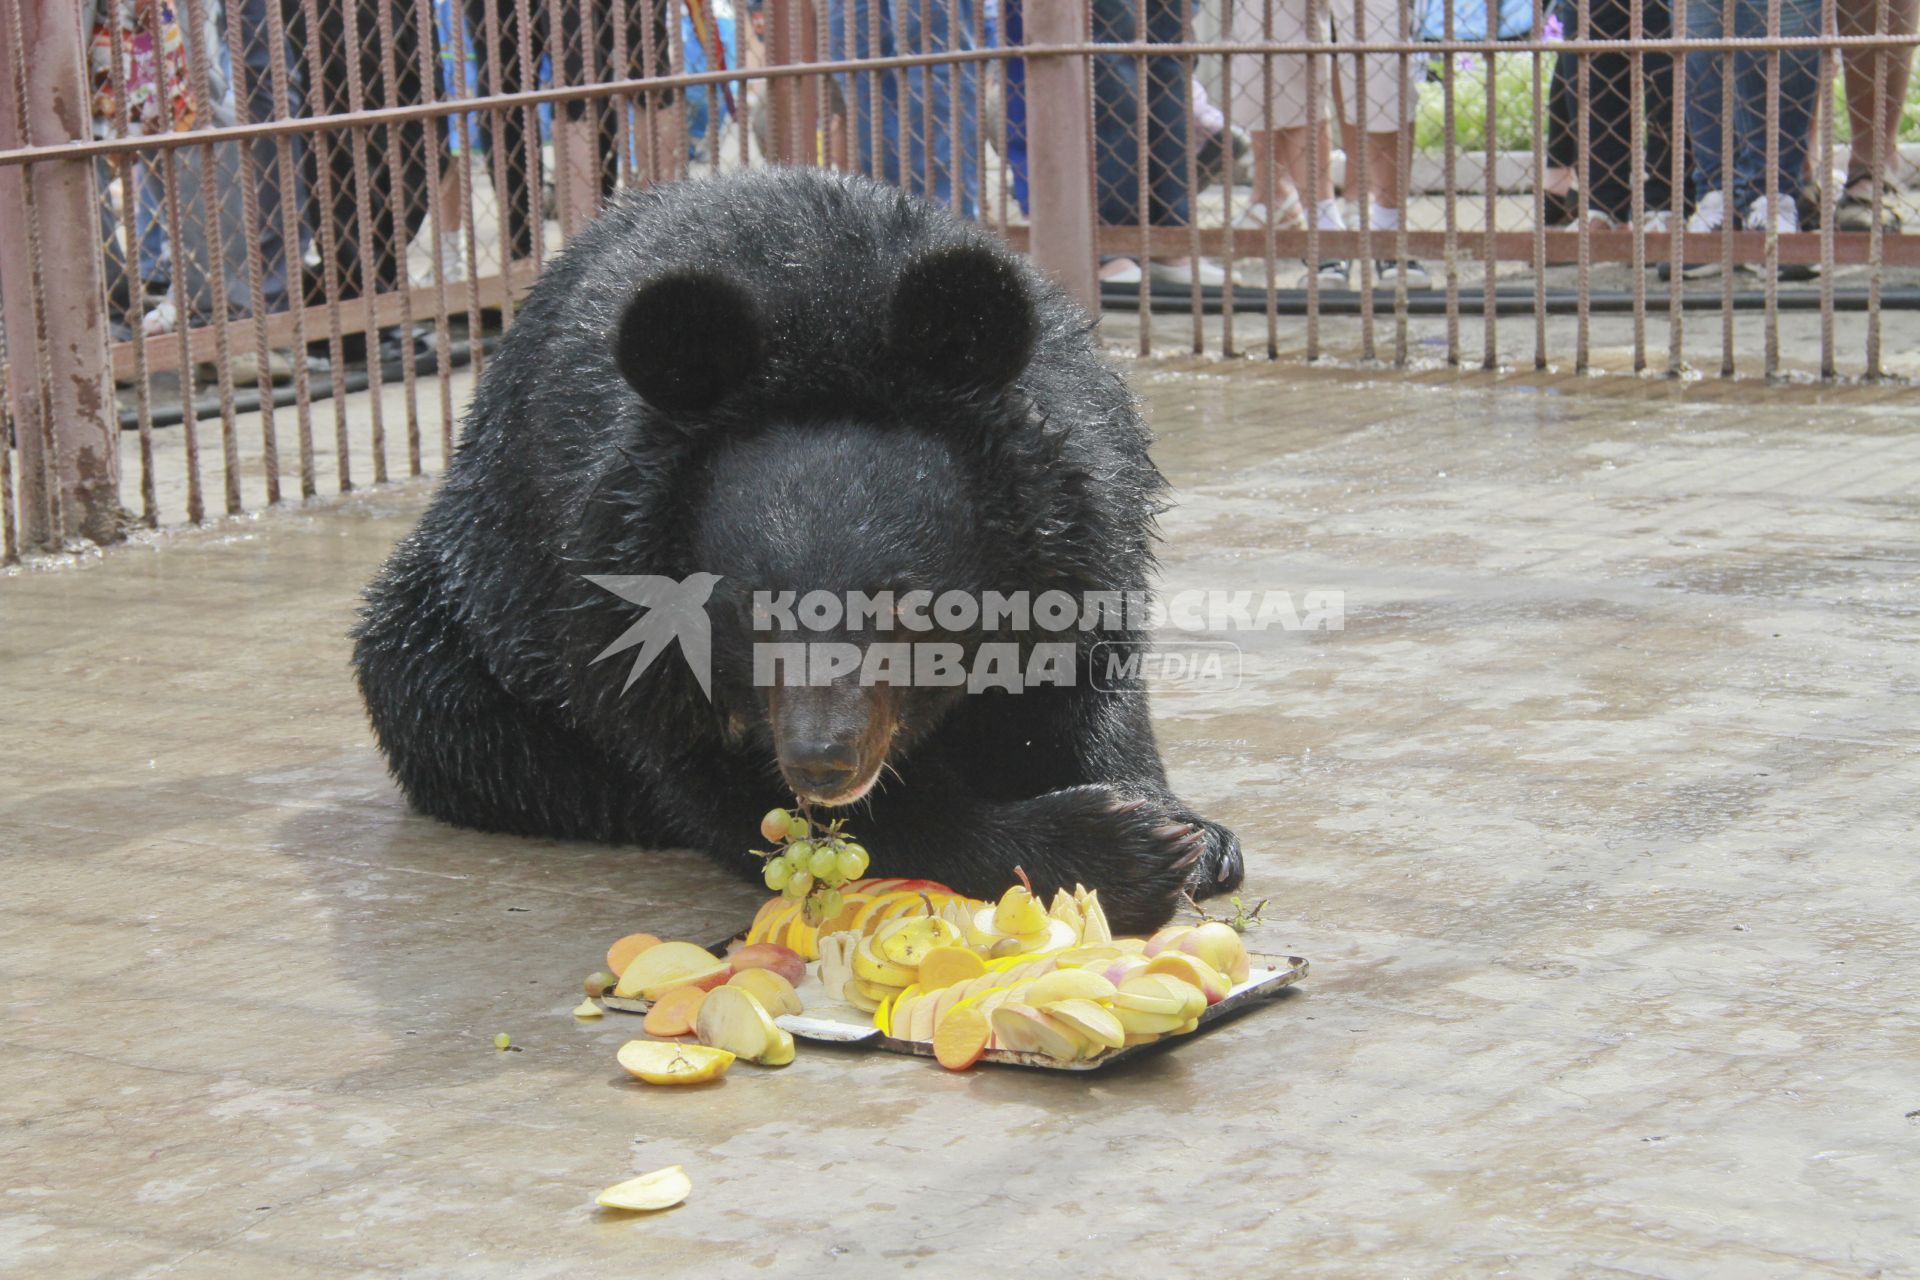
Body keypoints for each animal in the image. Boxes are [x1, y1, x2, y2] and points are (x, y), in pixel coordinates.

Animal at [351, 167, 1236, 932]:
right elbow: (736, 791)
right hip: (456, 630)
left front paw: (1193, 835)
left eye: (914, 602)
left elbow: (1085, 686)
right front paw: (1121, 851)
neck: (820, 315)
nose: (822, 761)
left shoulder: (1080, 526)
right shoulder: (613, 608)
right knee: (444, 708)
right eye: (744, 605)